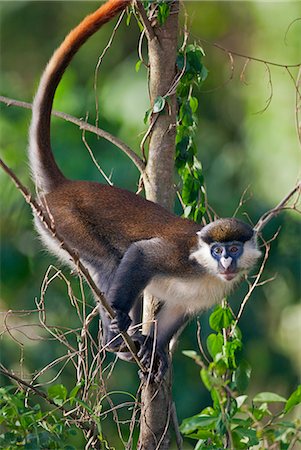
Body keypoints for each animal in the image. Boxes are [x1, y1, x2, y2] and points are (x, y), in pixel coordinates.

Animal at [28, 0, 260, 384]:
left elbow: (175, 314)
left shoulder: (209, 292)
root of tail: (62, 187)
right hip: (64, 222)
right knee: (112, 261)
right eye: (217, 250)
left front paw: (155, 351)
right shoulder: (180, 257)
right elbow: (140, 255)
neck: (207, 270)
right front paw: (124, 332)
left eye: (233, 248)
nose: (226, 261)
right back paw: (116, 335)